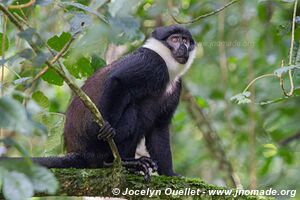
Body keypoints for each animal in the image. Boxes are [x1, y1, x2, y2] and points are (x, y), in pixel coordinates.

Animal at [1, 25, 197, 181]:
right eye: (174, 39)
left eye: (186, 40)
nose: (183, 47)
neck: (169, 69)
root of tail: (79, 152)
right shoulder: (152, 62)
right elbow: (117, 81)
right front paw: (107, 127)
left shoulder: (176, 87)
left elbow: (159, 129)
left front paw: (170, 174)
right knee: (131, 110)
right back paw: (123, 162)